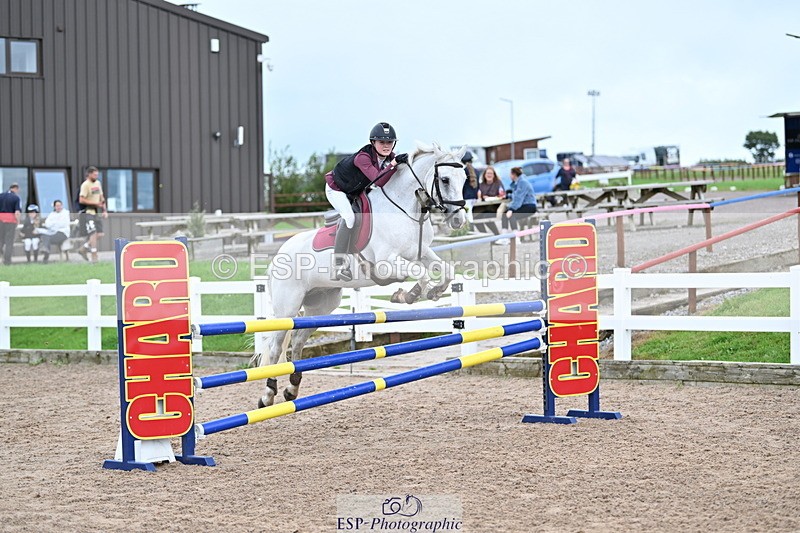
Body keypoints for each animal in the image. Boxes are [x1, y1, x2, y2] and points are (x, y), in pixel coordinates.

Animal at [256, 142, 468, 408]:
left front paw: (436, 292)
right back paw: (268, 394)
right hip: (288, 307)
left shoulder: (421, 253)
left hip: (321, 304)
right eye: (446, 179)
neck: (405, 208)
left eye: (465, 179)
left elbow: (446, 270)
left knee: (298, 339)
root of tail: (277, 255)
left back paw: (292, 389)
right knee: (275, 347)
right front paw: (407, 296)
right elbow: (420, 275)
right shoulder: (387, 264)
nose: (459, 220)